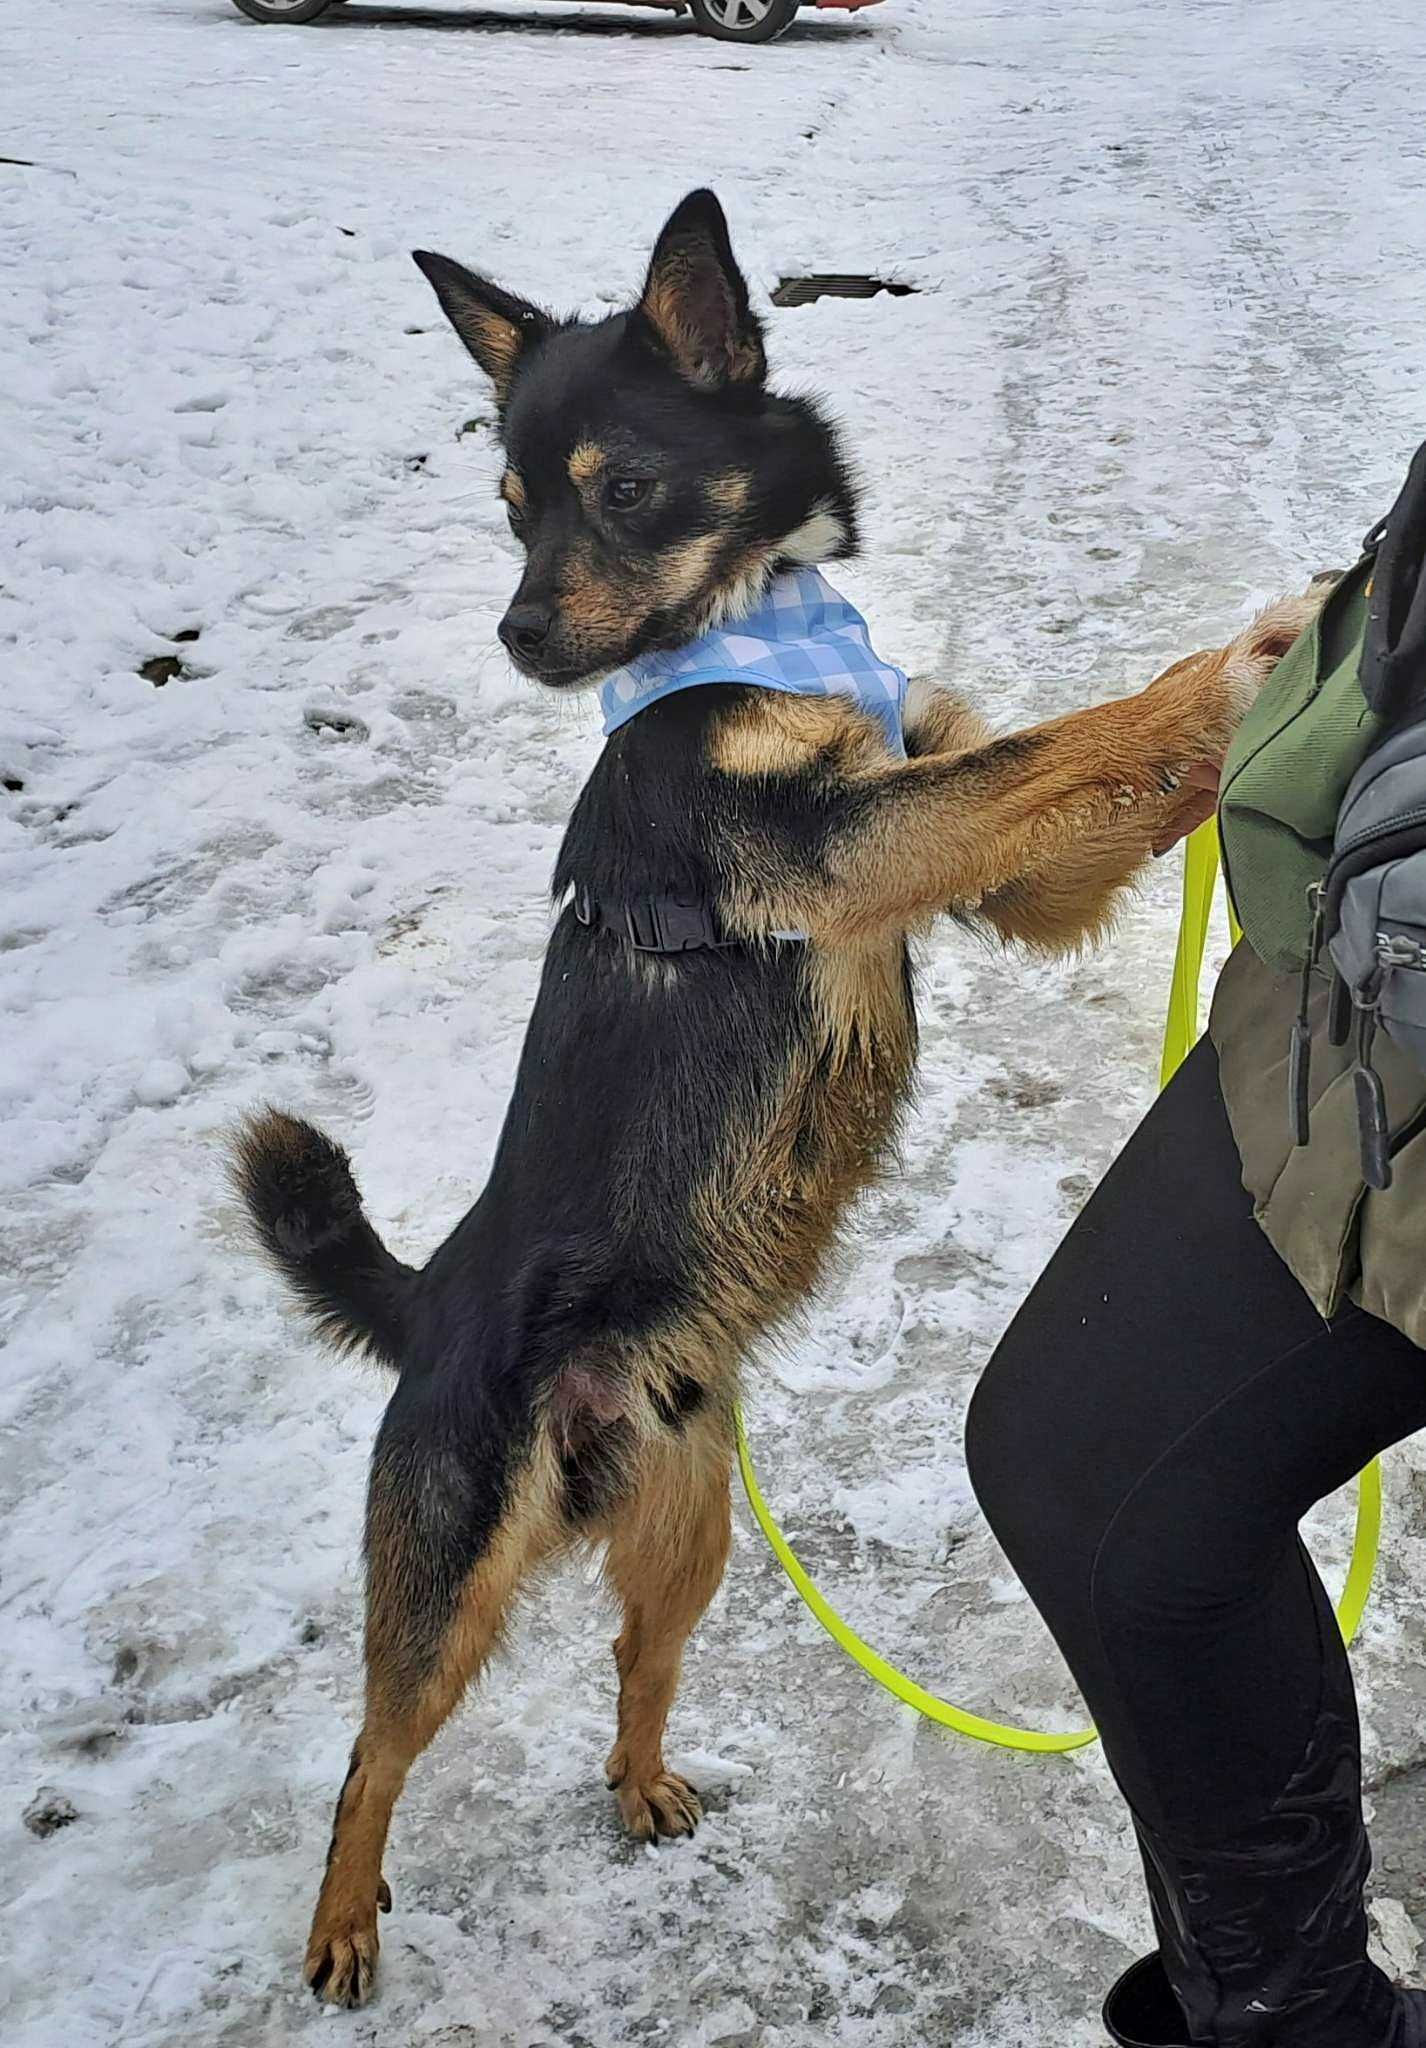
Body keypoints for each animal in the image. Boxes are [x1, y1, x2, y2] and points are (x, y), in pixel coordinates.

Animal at [231, 192, 1311, 1998]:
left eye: (618, 487)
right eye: (508, 508)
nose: (518, 637)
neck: (752, 621)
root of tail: (432, 1302)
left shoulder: (987, 871)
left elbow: (1080, 777)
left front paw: (1275, 673)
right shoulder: (848, 844)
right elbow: (1077, 739)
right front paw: (1246, 662)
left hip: (687, 1534)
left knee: (629, 1667)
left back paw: (643, 1783)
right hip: (454, 1568)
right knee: (371, 1750)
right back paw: (339, 1919)